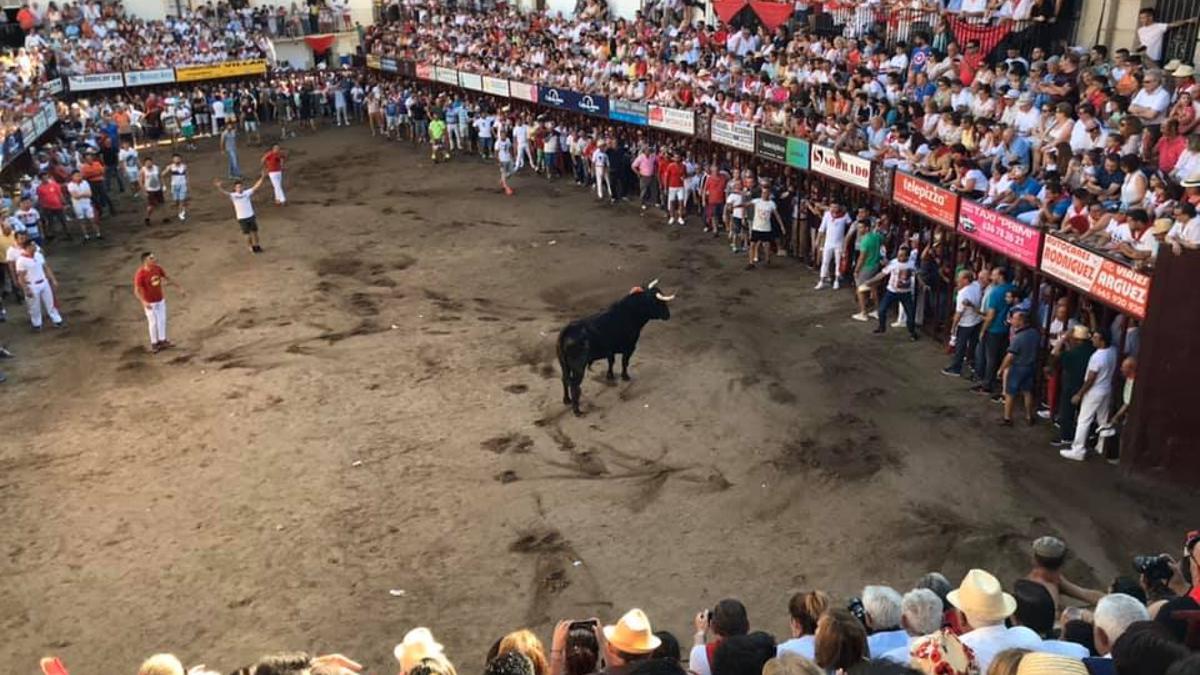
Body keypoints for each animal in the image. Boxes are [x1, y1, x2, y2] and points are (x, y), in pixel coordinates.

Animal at [554, 277, 676, 413]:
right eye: (658, 302)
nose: (668, 315)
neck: (631, 312)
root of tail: (568, 330)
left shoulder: (610, 350)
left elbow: (611, 361)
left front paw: (610, 376)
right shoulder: (630, 347)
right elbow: (624, 362)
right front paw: (625, 376)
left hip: (564, 364)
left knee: (564, 379)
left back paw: (567, 400)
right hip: (578, 368)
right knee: (574, 386)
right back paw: (577, 411)